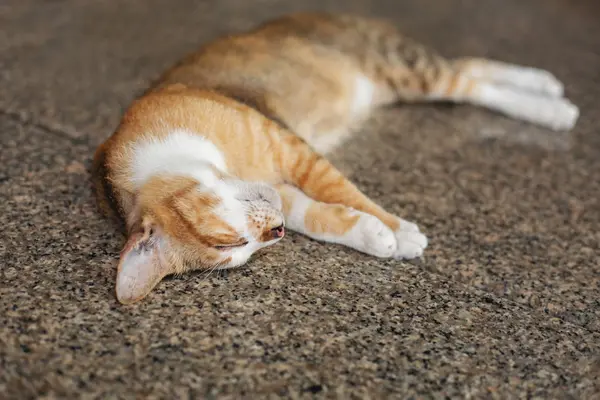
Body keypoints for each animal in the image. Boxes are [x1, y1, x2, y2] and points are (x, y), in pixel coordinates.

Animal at [92, 13, 576, 306]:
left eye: (228, 242)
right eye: (238, 251)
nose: (274, 235)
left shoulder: (290, 147)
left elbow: (339, 189)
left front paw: (400, 230)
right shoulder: (280, 191)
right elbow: (316, 215)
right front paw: (374, 236)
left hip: (403, 66)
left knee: (468, 80)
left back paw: (549, 106)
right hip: (402, 81)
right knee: (470, 70)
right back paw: (546, 87)